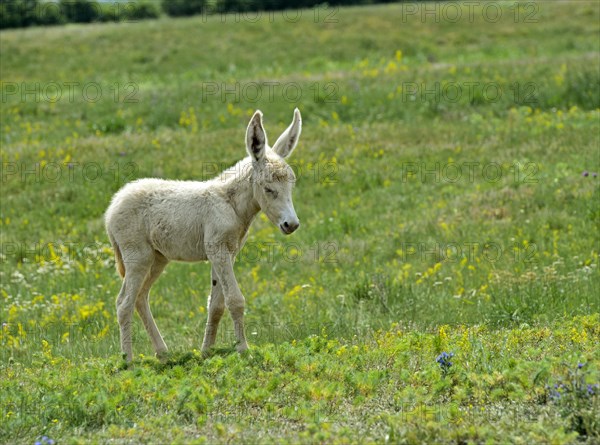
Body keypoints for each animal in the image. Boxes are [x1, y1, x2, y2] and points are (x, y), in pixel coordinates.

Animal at [105, 107, 302, 360]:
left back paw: (163, 353)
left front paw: (206, 351)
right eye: (269, 189)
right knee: (124, 303)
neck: (231, 204)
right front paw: (243, 350)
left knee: (140, 297)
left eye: (291, 185)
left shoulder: (226, 252)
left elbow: (216, 304)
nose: (291, 224)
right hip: (137, 256)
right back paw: (127, 360)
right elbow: (235, 299)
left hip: (158, 258)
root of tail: (112, 207)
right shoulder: (217, 249)